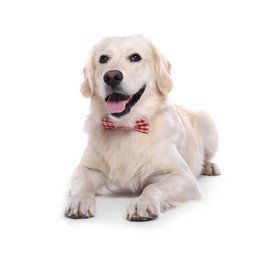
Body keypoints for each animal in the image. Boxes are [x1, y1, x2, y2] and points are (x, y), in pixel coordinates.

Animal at [65, 35, 219, 221]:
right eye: (103, 59)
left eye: (135, 57)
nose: (111, 76)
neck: (126, 127)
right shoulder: (86, 168)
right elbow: (83, 186)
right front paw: (79, 201)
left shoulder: (183, 176)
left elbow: (152, 187)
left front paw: (142, 204)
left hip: (207, 121)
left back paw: (208, 166)